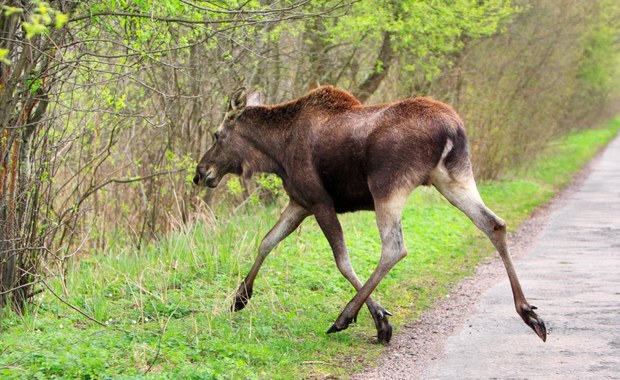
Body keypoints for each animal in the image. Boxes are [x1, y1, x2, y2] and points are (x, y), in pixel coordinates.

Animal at [195, 86, 548, 344]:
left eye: (216, 135)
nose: (200, 173)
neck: (274, 153)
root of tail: (453, 129)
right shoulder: (299, 202)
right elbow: (267, 241)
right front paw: (240, 297)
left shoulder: (320, 201)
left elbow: (342, 260)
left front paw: (378, 318)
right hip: (453, 178)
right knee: (494, 224)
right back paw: (529, 313)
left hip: (387, 186)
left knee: (395, 248)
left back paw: (343, 316)